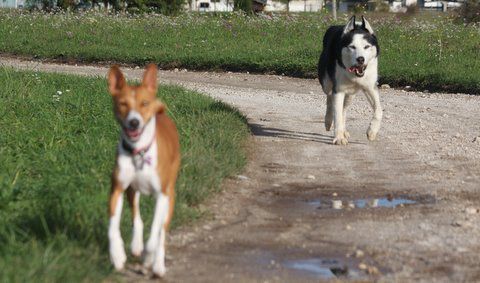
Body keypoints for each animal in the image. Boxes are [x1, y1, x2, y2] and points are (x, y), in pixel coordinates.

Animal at [107, 63, 180, 278]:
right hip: (133, 190)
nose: (134, 122)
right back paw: (137, 245)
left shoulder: (162, 196)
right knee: (137, 218)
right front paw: (117, 255)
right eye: (122, 104)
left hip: (170, 196)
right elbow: (112, 227)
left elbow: (155, 231)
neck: (139, 151)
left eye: (144, 103)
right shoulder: (117, 188)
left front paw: (149, 256)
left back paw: (156, 265)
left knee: (162, 233)